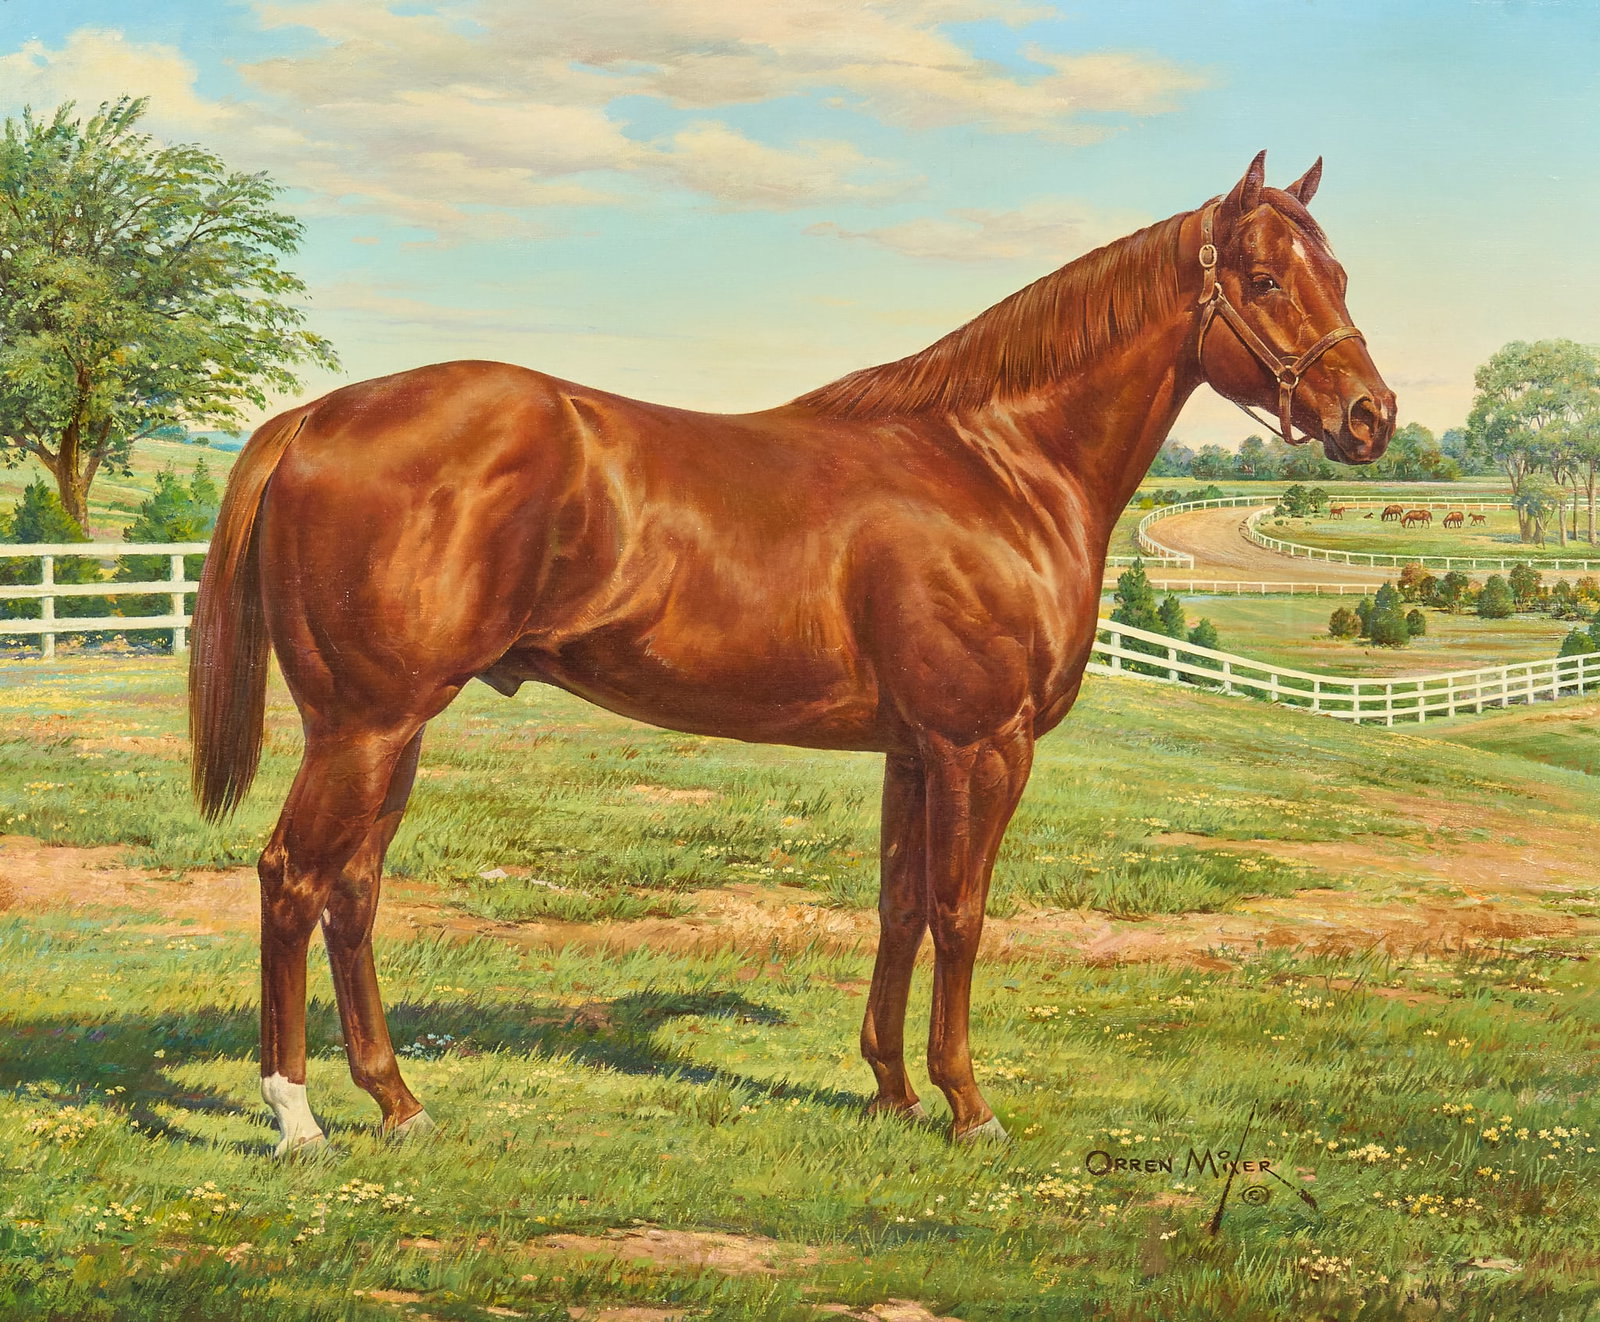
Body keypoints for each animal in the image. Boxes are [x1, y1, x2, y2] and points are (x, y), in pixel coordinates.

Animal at [189, 151, 1394, 1156]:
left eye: (1338, 271)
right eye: (1266, 279)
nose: (1370, 415)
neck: (997, 467)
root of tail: (315, 418)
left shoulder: (914, 750)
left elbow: (899, 907)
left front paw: (892, 1091)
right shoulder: (981, 745)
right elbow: (962, 914)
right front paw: (968, 1106)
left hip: (389, 731)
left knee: (353, 890)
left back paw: (398, 1101)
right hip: (364, 726)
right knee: (293, 878)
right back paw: (296, 1118)